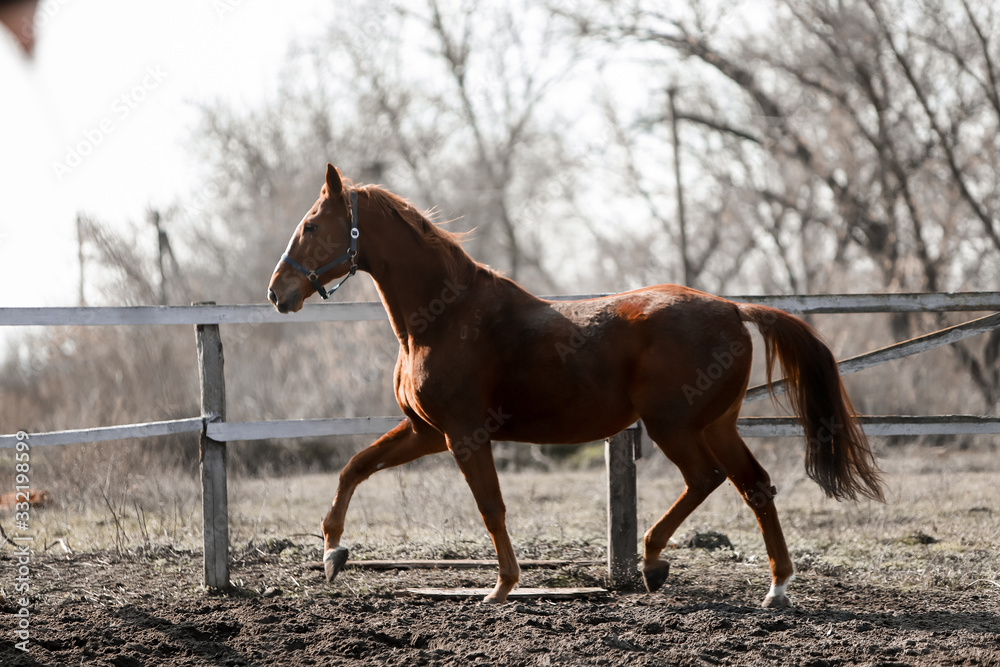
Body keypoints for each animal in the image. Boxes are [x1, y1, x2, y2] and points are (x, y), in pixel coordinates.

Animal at [267, 164, 885, 608]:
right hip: (716, 424)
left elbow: (491, 507)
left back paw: (654, 563)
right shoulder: (424, 430)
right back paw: (775, 589)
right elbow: (354, 467)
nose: (277, 292)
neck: (442, 317)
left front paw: (502, 587)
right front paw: (333, 553)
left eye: (312, 226)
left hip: (674, 425)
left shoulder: (463, 434)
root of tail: (734, 309)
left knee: (706, 479)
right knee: (754, 486)